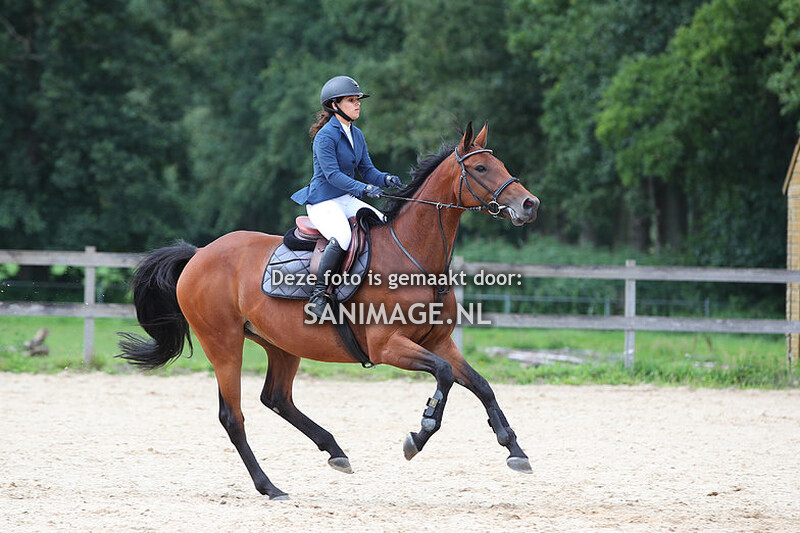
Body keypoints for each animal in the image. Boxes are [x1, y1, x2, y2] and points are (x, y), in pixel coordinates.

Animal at [118, 122, 540, 500]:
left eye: (499, 163)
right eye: (481, 168)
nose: (529, 204)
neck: (414, 256)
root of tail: (199, 254)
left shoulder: (439, 342)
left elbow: (481, 385)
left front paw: (516, 451)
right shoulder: (388, 347)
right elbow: (445, 376)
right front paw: (419, 433)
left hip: (280, 344)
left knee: (277, 398)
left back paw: (335, 452)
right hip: (224, 344)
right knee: (233, 417)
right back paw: (270, 487)